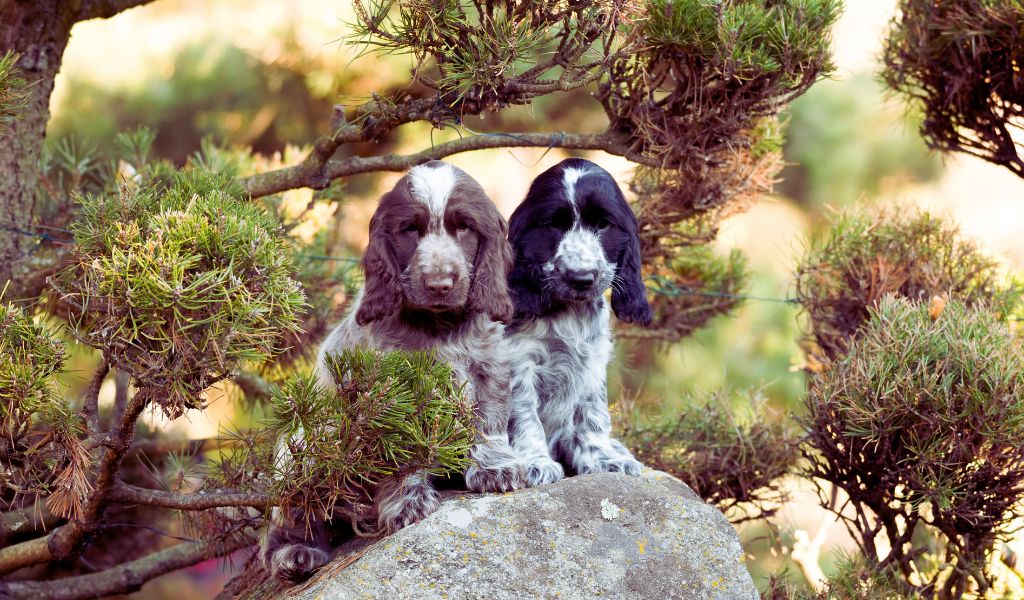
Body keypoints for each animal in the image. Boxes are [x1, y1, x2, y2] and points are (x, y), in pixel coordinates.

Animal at [262, 160, 528, 581]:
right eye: (410, 230)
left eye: (465, 228)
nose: (439, 284)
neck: (439, 325)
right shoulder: (388, 396)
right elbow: (398, 456)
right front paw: (405, 503)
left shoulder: (488, 366)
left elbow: (489, 422)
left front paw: (496, 468)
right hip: (305, 448)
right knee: (285, 523)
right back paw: (295, 553)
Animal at [505, 156, 655, 483]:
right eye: (554, 225)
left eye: (603, 224)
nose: (581, 278)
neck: (568, 313)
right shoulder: (518, 364)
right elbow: (523, 413)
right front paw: (535, 462)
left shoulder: (592, 364)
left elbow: (592, 415)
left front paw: (603, 458)